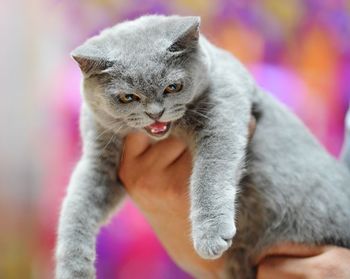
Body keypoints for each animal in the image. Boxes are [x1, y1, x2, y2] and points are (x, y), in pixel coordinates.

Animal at [55, 15, 350, 279]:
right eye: (128, 97)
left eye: (173, 87)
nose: (155, 113)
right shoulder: (99, 157)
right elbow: (76, 208)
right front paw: (72, 269)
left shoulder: (222, 113)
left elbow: (209, 173)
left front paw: (210, 234)